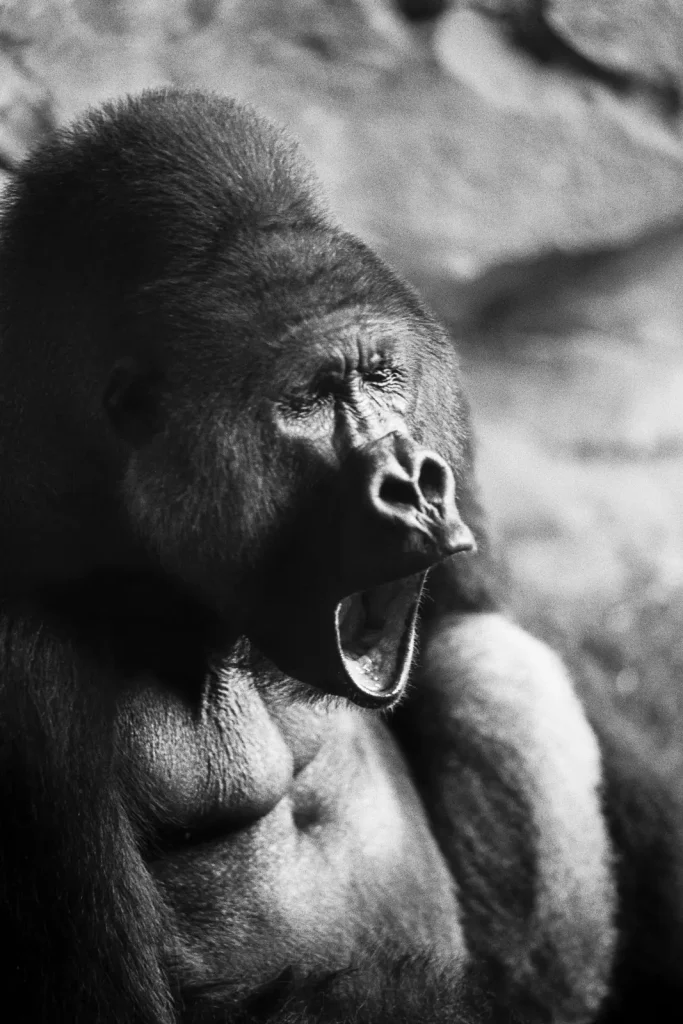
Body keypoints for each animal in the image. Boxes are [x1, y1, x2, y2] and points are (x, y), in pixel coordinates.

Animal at [0, 90, 679, 1024]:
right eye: (309, 397)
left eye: (382, 375)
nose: (416, 485)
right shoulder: (22, 677)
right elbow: (111, 1002)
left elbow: (485, 622)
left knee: (488, 660)